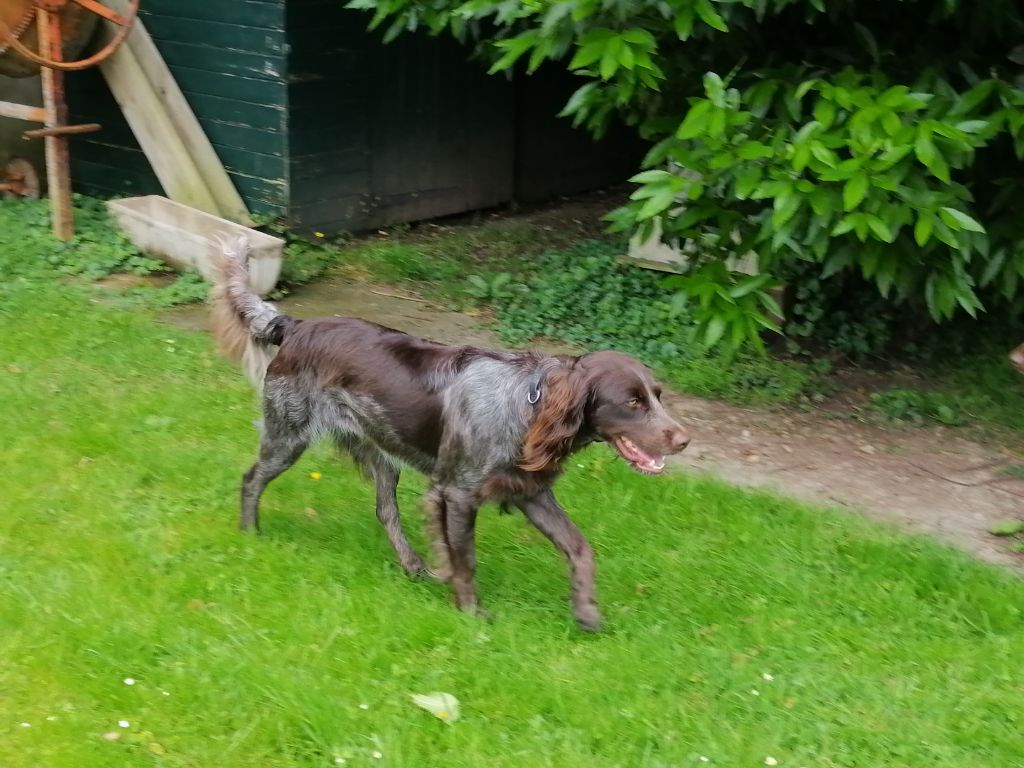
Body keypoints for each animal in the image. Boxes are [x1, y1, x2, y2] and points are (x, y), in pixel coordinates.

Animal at [207, 239, 688, 630]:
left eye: (658, 395)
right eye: (632, 403)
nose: (683, 440)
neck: (527, 404)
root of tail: (297, 325)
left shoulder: (530, 491)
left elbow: (580, 548)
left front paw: (587, 612)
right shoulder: (458, 493)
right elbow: (466, 559)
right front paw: (471, 611)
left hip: (381, 452)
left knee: (385, 510)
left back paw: (412, 566)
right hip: (287, 435)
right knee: (251, 479)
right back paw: (250, 534)